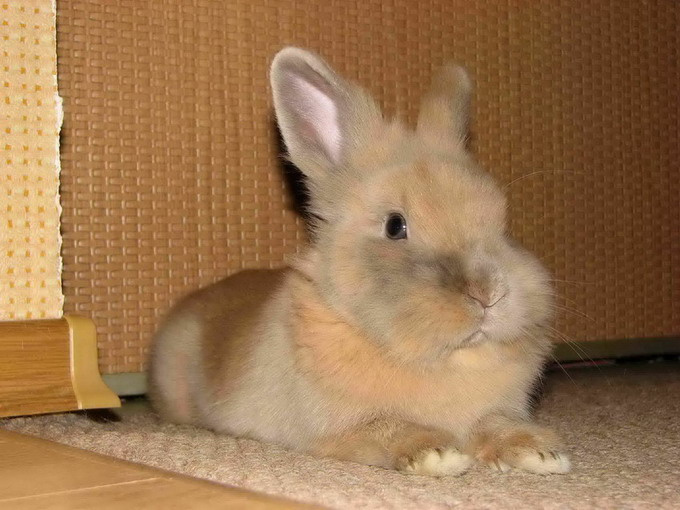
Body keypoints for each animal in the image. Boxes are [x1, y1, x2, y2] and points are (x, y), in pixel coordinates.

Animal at [147, 47, 570, 477]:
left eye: (502, 222)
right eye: (395, 226)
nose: (488, 294)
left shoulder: (494, 411)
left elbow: (495, 423)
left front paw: (540, 454)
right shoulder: (343, 427)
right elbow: (387, 427)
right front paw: (437, 454)